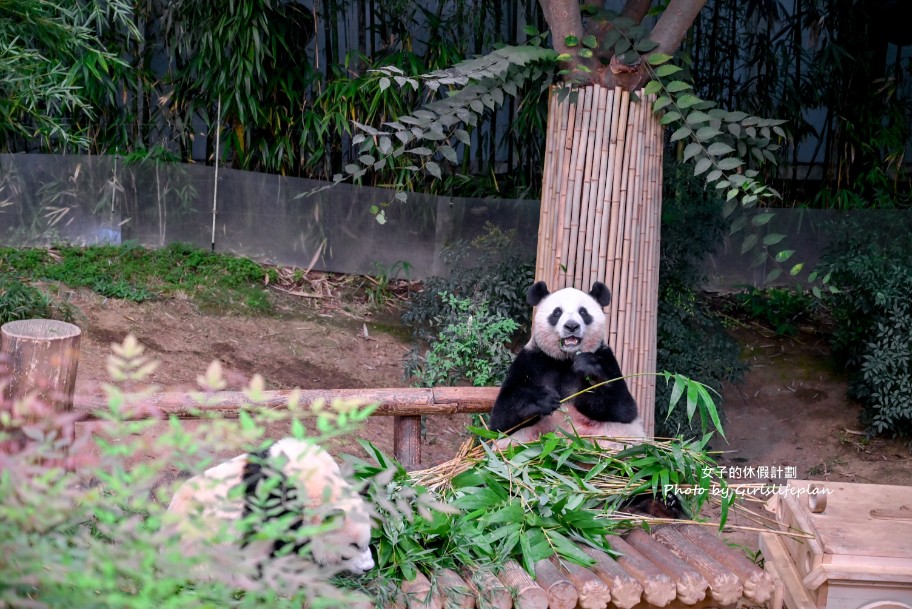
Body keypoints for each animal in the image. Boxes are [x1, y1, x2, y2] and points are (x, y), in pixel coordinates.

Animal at [488, 280, 644, 446]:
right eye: (557, 313)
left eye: (583, 312)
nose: (572, 326)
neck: (566, 360)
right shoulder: (530, 361)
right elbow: (501, 418)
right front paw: (544, 399)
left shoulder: (605, 356)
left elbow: (624, 408)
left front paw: (588, 380)